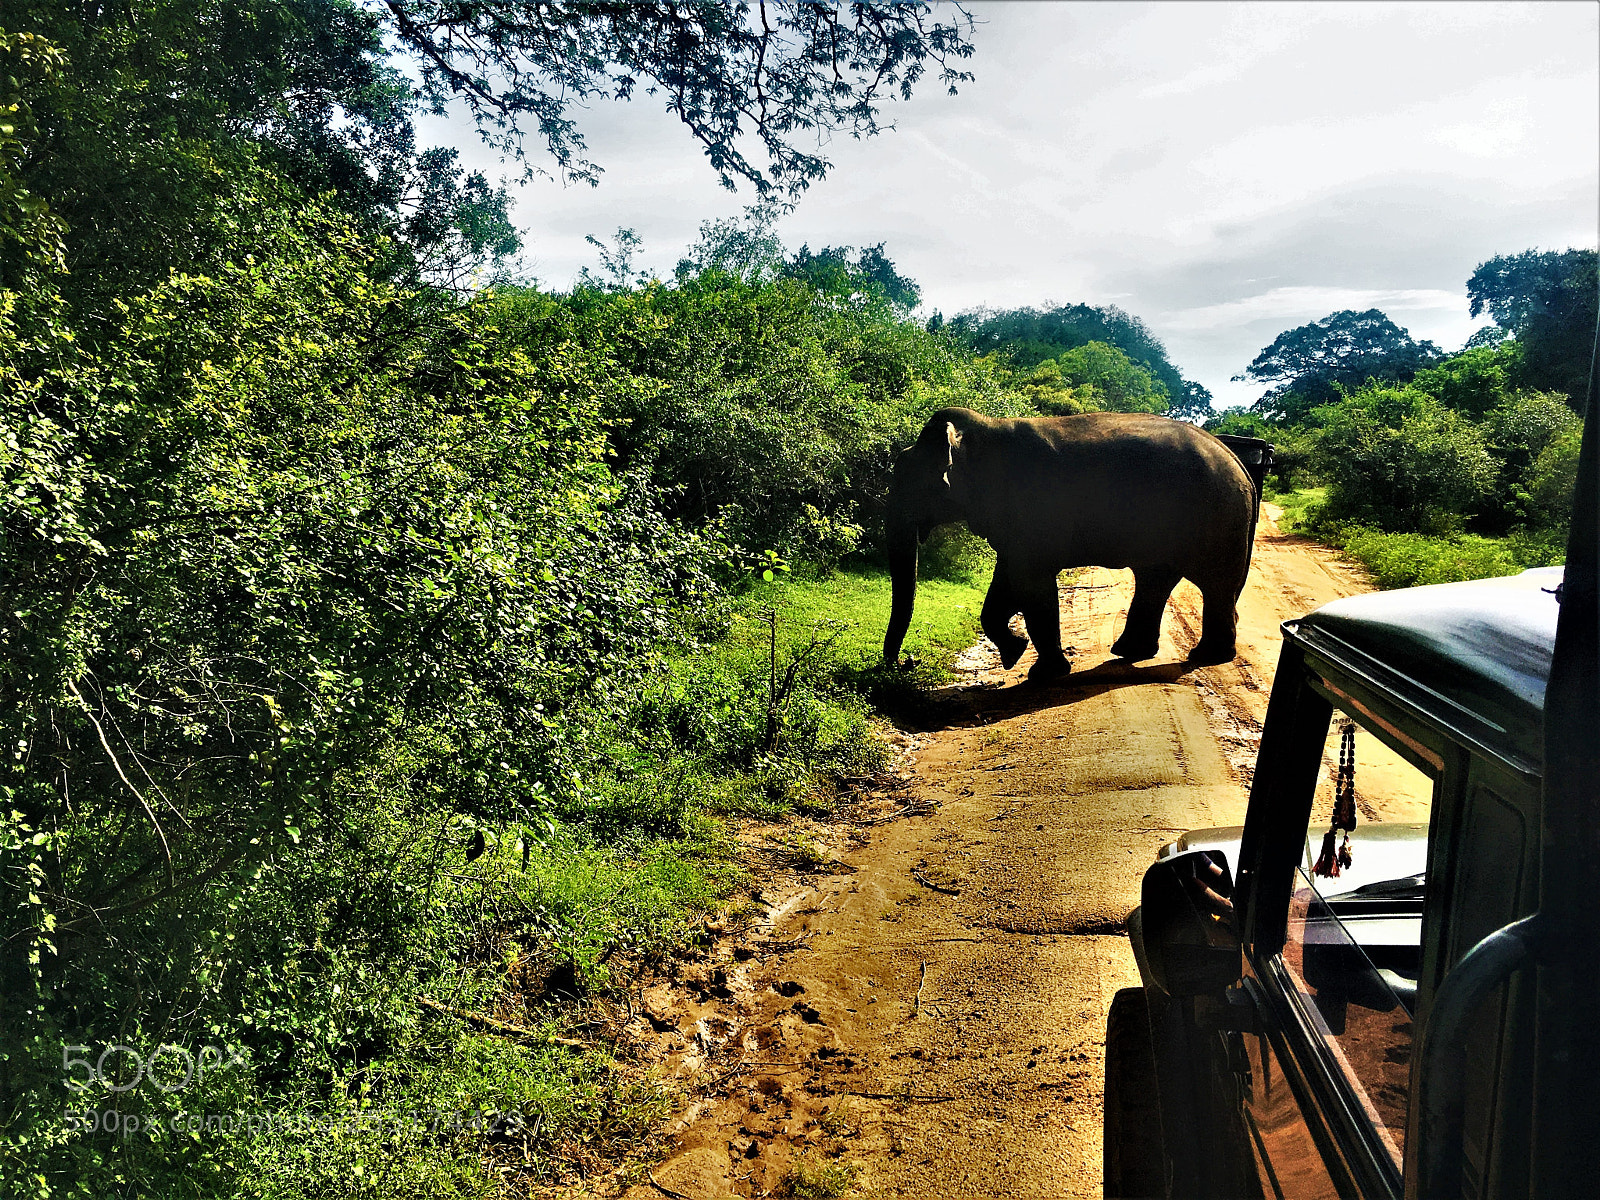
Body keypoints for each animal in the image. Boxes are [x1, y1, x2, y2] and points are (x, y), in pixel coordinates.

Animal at [882, 408, 1260, 680]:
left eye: (908, 479)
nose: (906, 663)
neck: (985, 431)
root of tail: (1239, 463)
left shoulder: (1031, 512)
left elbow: (1033, 589)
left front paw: (1042, 673)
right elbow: (1004, 587)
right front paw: (1015, 653)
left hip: (1215, 520)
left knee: (1215, 585)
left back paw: (1206, 656)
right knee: (1157, 580)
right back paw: (1129, 651)